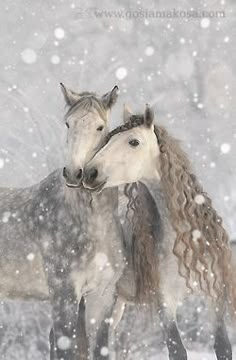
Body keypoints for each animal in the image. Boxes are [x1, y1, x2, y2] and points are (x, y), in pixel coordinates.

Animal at [83, 105, 236, 360]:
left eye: (133, 141)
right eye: (108, 140)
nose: (90, 173)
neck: (184, 243)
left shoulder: (214, 298)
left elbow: (223, 347)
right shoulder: (166, 304)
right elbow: (177, 350)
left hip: (113, 303)